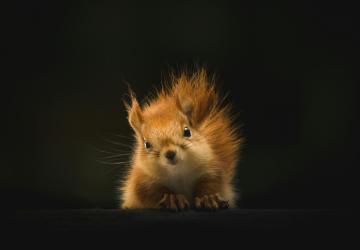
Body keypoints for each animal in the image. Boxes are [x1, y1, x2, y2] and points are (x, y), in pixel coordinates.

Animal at [119, 68, 243, 211]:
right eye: (147, 144)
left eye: (187, 131)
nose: (170, 153)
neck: (178, 172)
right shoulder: (142, 180)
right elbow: (150, 192)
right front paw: (172, 198)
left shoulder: (211, 169)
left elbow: (212, 184)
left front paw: (208, 197)